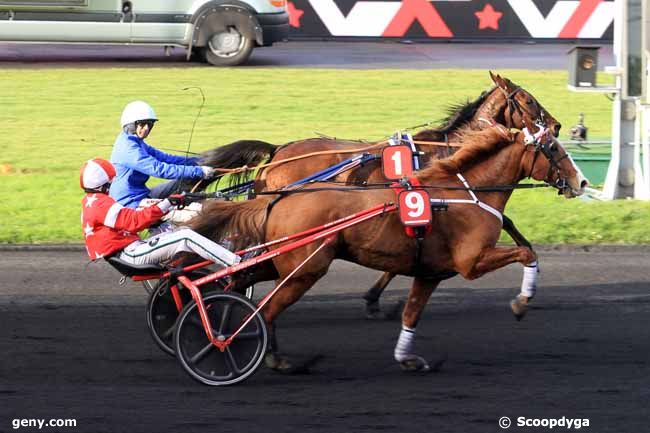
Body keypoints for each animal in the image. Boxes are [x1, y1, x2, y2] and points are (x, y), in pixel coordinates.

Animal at [191, 124, 588, 372]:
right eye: (554, 149)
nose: (581, 182)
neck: (464, 193)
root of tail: (279, 197)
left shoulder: (430, 273)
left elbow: (411, 315)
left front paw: (408, 358)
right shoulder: (471, 262)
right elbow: (527, 254)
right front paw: (521, 302)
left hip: (281, 262)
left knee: (239, 284)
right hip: (305, 269)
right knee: (267, 308)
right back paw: (261, 353)